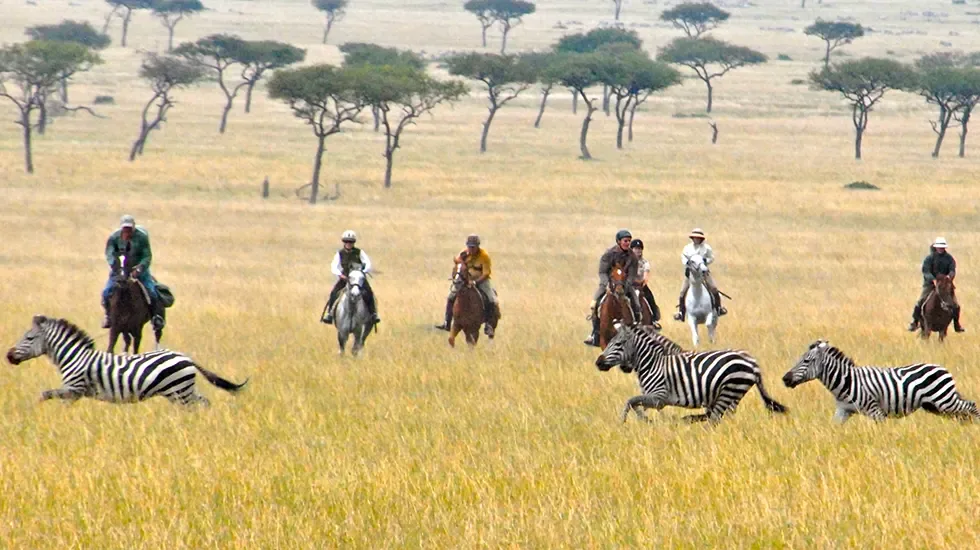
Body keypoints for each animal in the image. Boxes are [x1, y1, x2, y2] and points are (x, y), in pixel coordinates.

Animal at [5, 315, 248, 406]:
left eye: (29, 338)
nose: (8, 356)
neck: (74, 356)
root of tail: (186, 357)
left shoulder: (74, 388)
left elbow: (45, 394)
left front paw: (36, 411)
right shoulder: (75, 393)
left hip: (178, 391)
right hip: (184, 389)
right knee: (204, 402)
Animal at [595, 325, 788, 423]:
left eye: (618, 344)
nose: (598, 363)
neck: (652, 364)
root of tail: (753, 363)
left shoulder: (659, 397)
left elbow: (630, 401)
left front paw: (624, 422)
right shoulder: (651, 397)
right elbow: (636, 404)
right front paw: (645, 420)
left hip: (730, 390)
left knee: (715, 419)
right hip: (733, 394)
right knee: (722, 417)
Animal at [783, 340, 980, 424]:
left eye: (806, 361)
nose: (785, 379)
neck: (846, 382)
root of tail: (943, 368)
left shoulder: (875, 411)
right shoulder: (843, 410)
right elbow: (834, 427)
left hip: (943, 400)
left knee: (970, 406)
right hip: (935, 405)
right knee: (963, 412)